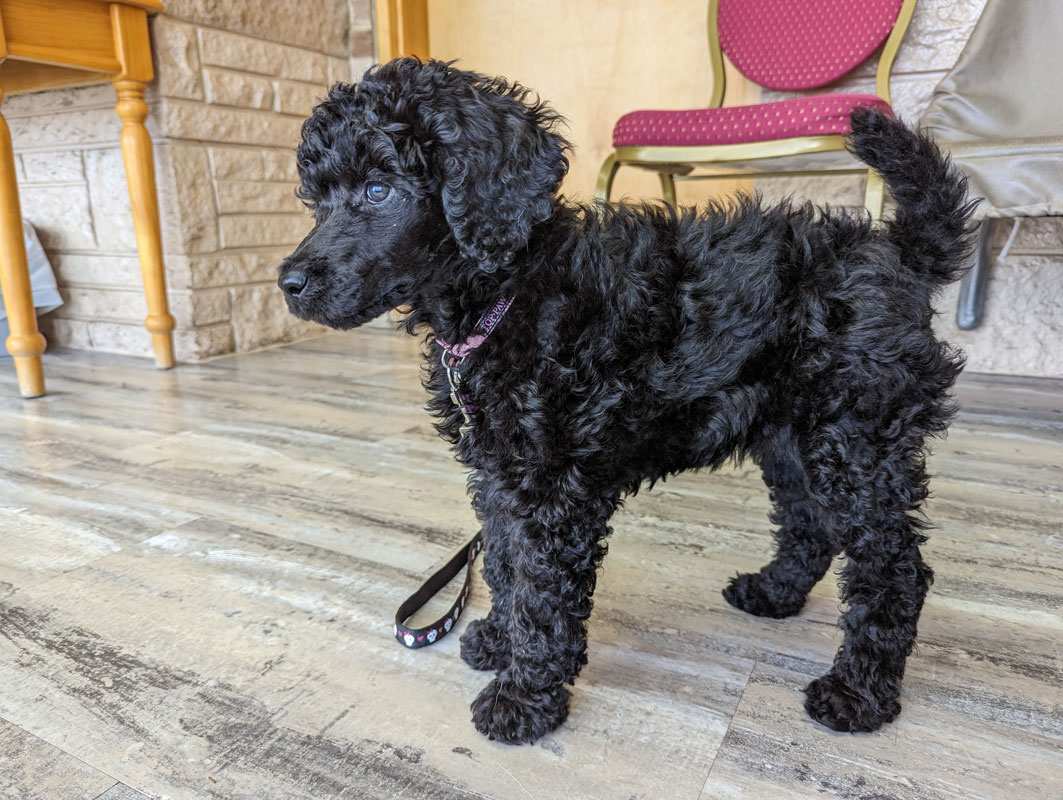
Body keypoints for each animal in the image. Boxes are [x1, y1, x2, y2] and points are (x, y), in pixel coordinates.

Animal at [278, 56, 973, 743]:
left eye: (379, 190)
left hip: (857, 436)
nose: (288, 283)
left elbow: (542, 593)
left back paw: (858, 694)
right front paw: (500, 640)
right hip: (792, 438)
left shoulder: (554, 489)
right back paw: (772, 594)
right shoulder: (503, 476)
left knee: (894, 569)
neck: (511, 295)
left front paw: (524, 699)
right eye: (316, 198)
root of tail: (901, 252)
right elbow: (505, 562)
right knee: (811, 524)